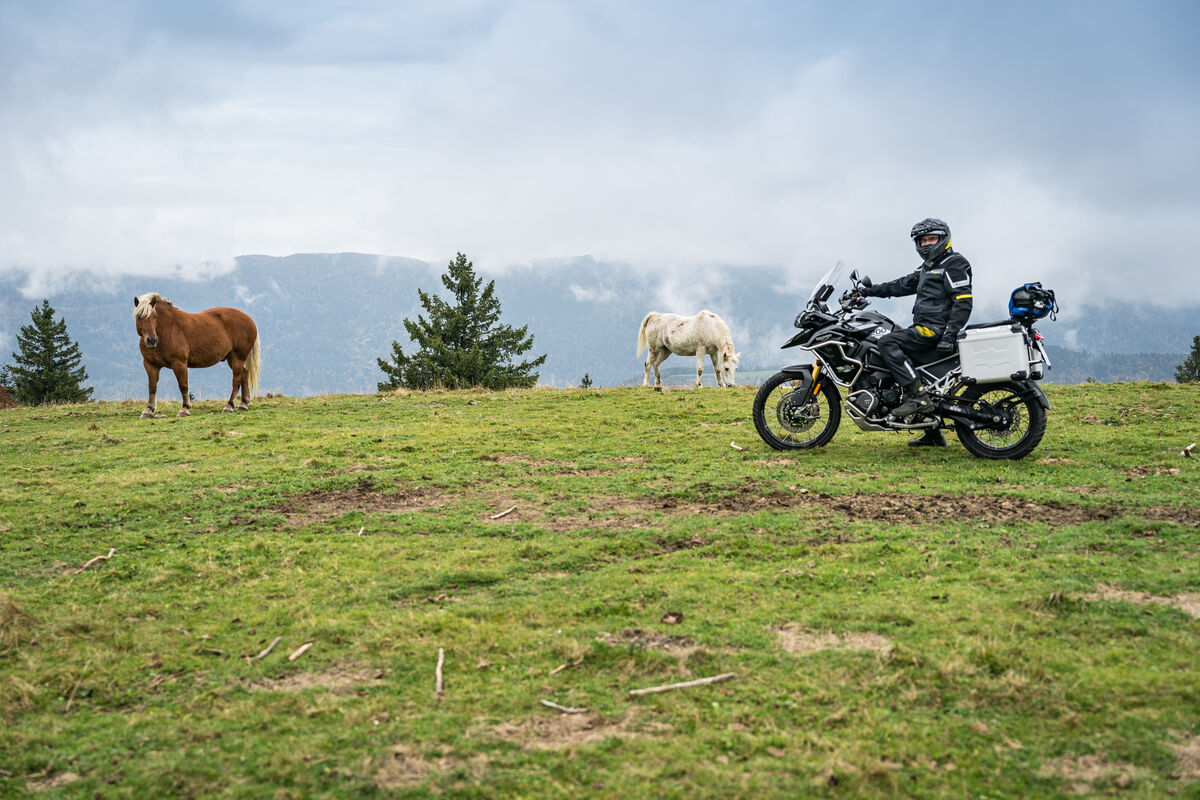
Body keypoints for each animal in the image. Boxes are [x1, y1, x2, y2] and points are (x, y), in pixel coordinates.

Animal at [132, 293, 261, 419]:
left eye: (155, 317)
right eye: (139, 317)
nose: (151, 340)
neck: (166, 330)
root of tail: (249, 319)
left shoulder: (179, 364)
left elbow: (183, 386)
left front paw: (184, 409)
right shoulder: (150, 365)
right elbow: (152, 387)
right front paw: (148, 410)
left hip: (238, 357)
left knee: (236, 380)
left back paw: (229, 406)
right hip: (231, 358)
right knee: (244, 375)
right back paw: (243, 404)